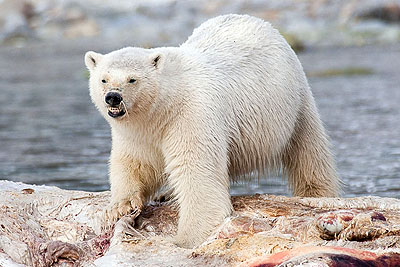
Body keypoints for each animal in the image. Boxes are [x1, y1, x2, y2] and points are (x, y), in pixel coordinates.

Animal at [84, 14, 340, 249]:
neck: (165, 106)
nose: (113, 97)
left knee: (309, 153)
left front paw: (187, 239)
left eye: (132, 79)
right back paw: (167, 194)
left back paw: (317, 194)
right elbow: (134, 163)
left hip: (294, 102)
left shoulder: (190, 115)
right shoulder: (137, 133)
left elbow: (197, 174)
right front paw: (118, 207)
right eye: (104, 79)